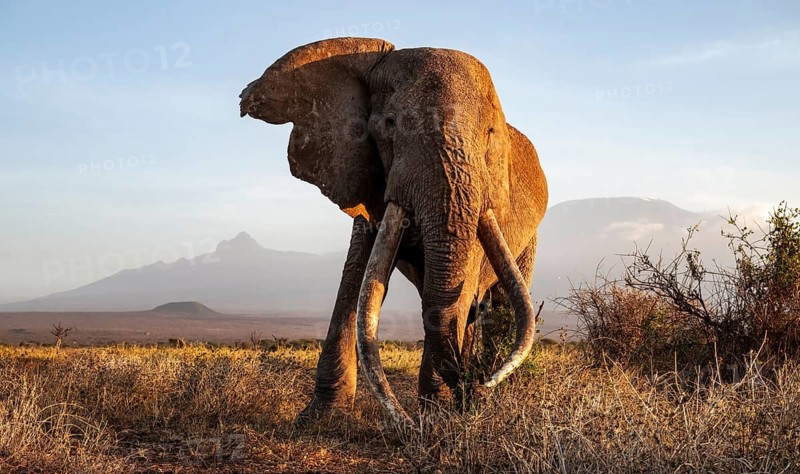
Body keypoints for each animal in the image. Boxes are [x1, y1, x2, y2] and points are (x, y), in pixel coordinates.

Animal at [240, 37, 548, 428]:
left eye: (490, 134)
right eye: (388, 125)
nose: (473, 387)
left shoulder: (483, 198)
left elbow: (455, 290)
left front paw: (438, 419)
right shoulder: (365, 178)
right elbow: (357, 279)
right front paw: (322, 418)